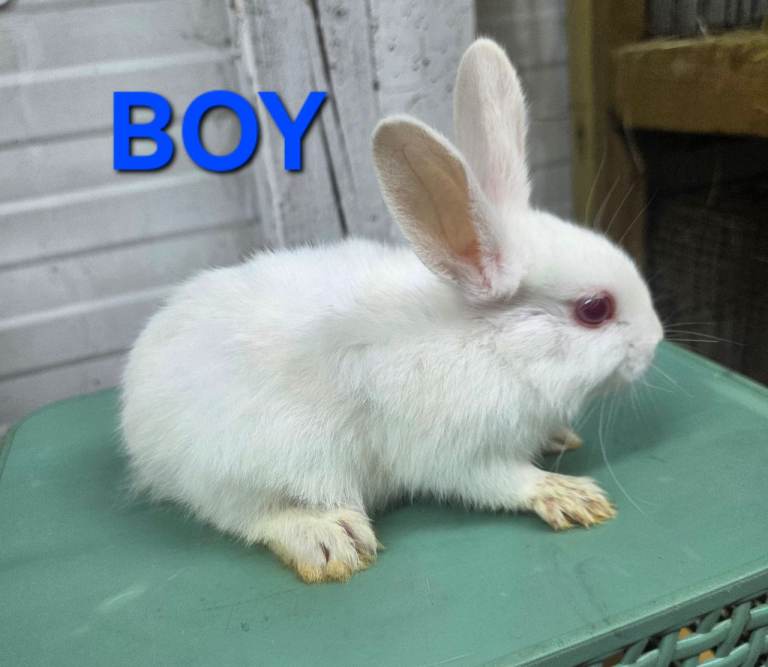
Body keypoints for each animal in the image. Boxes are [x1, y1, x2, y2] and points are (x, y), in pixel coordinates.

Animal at [120, 38, 663, 583]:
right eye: (594, 309)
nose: (655, 341)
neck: (495, 345)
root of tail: (136, 411)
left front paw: (559, 439)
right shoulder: (457, 453)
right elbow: (499, 482)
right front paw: (570, 496)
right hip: (255, 462)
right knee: (248, 514)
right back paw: (329, 538)